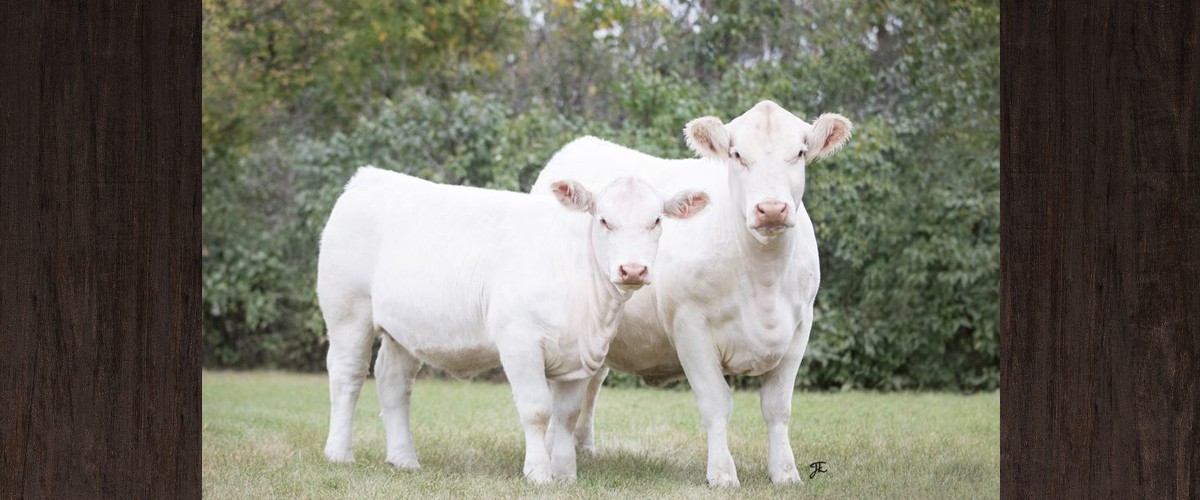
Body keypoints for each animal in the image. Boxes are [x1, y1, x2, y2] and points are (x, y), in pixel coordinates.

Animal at [317, 166, 709, 483]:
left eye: (656, 220)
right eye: (603, 220)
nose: (633, 269)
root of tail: (368, 177)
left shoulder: (582, 354)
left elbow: (567, 415)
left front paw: (565, 474)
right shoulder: (519, 341)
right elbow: (537, 410)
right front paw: (538, 473)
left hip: (404, 331)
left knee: (393, 382)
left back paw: (403, 459)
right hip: (347, 310)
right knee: (347, 376)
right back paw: (339, 454)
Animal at [529, 101, 853, 487]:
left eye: (800, 152)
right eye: (736, 154)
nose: (772, 208)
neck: (764, 281)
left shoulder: (801, 326)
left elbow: (778, 407)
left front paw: (785, 473)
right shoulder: (690, 326)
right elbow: (716, 403)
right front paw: (723, 473)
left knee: (591, 385)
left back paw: (583, 447)